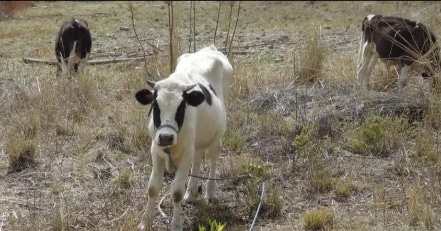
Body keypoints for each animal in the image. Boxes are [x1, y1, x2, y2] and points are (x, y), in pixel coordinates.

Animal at [135, 45, 234, 231]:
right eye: (155, 105)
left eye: (181, 107)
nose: (166, 137)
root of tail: (210, 48)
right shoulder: (156, 150)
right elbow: (152, 188)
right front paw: (146, 222)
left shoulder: (186, 153)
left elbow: (176, 193)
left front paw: (176, 225)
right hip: (197, 141)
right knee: (198, 158)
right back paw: (192, 191)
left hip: (217, 135)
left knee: (212, 159)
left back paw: (210, 193)